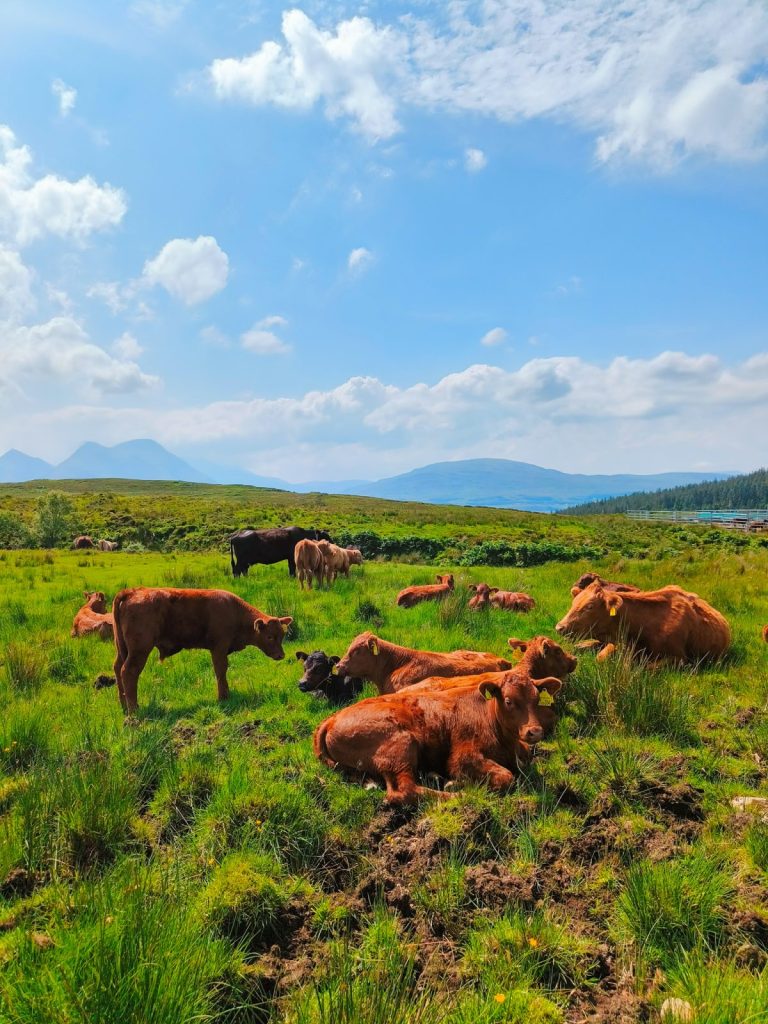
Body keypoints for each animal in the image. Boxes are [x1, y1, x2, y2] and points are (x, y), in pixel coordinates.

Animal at [111, 587, 292, 713]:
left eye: (282, 635)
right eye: (270, 636)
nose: (281, 655)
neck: (234, 611)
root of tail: (133, 592)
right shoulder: (219, 648)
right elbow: (221, 670)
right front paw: (223, 697)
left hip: (123, 650)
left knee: (118, 669)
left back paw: (124, 706)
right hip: (139, 651)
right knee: (129, 672)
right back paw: (134, 709)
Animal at [313, 671, 563, 804]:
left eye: (536, 699)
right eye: (509, 701)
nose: (535, 731)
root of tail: (332, 719)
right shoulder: (463, 757)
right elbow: (506, 777)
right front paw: (461, 783)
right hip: (401, 746)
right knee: (404, 791)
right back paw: (457, 792)